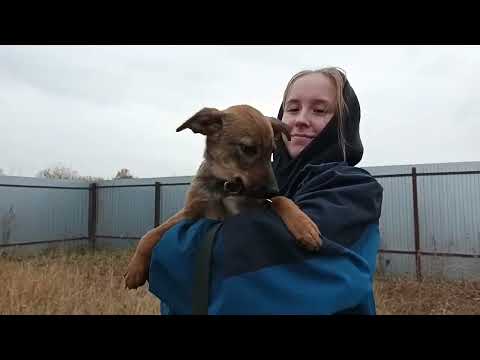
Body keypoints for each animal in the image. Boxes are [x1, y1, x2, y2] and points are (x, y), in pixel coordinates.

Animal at [124, 105, 322, 290]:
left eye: (271, 152)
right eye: (248, 149)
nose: (273, 190)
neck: (225, 187)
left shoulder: (256, 204)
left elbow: (282, 200)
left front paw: (305, 227)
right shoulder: (190, 213)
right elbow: (151, 233)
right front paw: (134, 269)